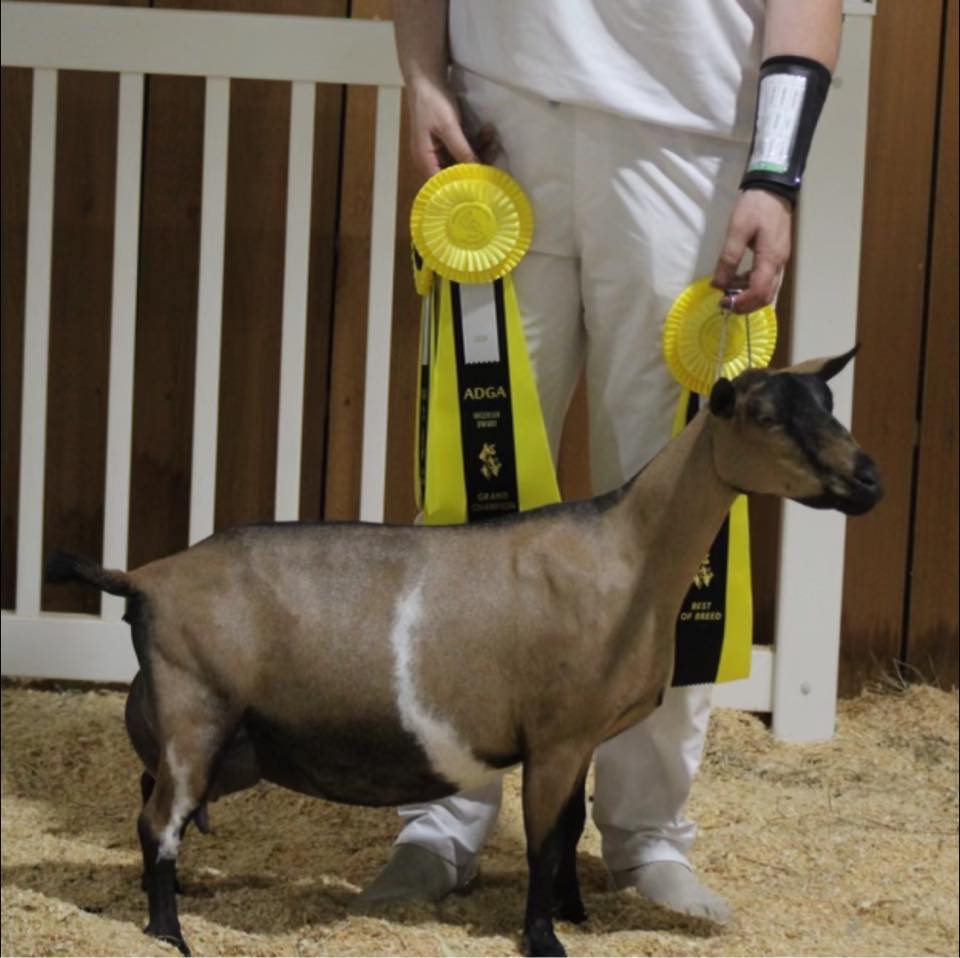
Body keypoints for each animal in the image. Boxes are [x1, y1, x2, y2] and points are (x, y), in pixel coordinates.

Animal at [47, 349, 881, 958]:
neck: (626, 551)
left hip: (201, 733)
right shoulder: (556, 736)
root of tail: (144, 579)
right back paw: (169, 935)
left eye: (830, 403)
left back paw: (173, 903)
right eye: (765, 416)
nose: (868, 480)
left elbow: (570, 832)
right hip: (196, 714)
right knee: (159, 820)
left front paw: (573, 917)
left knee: (149, 803)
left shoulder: (576, 739)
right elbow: (545, 842)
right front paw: (544, 939)